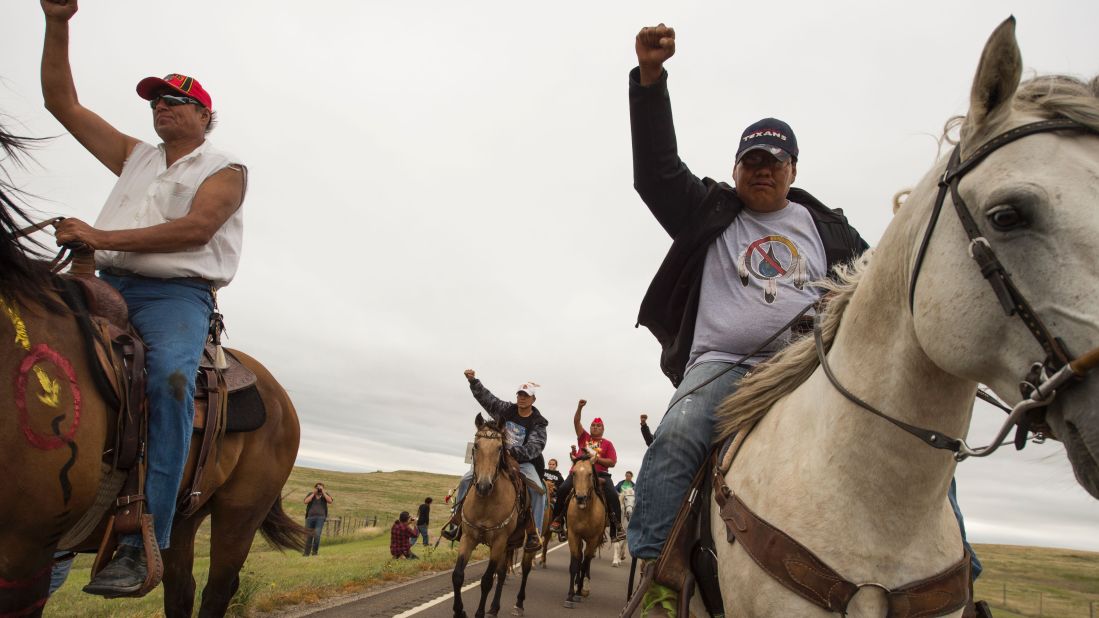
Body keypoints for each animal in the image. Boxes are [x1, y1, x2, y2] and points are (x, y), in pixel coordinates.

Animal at [562, 453, 606, 607]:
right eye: (574, 473)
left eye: (589, 474)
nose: (581, 498)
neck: (585, 512)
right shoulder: (573, 535)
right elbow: (575, 564)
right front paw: (570, 595)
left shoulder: (593, 539)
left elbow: (585, 563)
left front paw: (580, 591)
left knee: (587, 560)